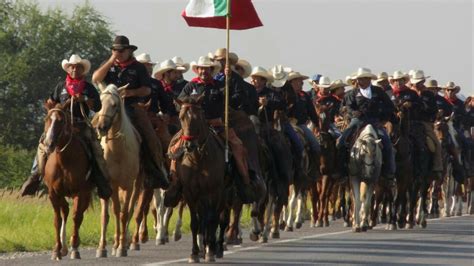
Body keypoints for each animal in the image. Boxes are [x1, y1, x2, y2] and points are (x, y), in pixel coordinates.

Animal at [43, 99, 94, 260]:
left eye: (61, 120)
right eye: (47, 119)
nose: (49, 143)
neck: (65, 160)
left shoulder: (81, 192)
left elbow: (76, 217)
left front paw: (75, 248)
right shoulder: (53, 193)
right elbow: (57, 219)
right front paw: (56, 250)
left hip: (86, 194)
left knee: (77, 214)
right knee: (65, 210)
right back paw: (63, 248)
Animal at [93, 84, 142, 256]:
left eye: (114, 105)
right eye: (99, 103)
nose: (101, 127)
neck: (117, 151)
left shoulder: (127, 185)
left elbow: (124, 213)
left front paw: (121, 247)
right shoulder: (110, 185)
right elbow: (108, 214)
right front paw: (102, 248)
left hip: (137, 185)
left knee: (131, 209)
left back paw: (127, 242)